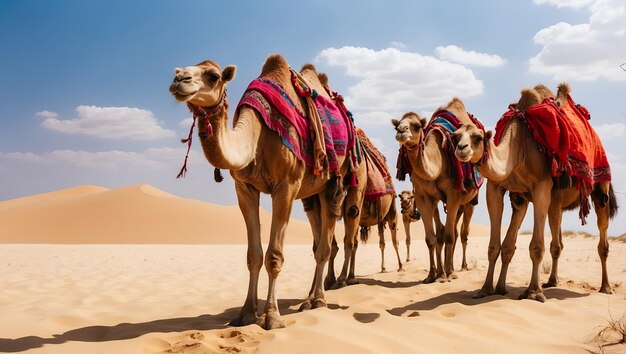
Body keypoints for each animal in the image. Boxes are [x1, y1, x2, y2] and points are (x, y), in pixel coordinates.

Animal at [168, 55, 358, 330]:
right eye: (180, 70)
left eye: (213, 76)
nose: (178, 80)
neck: (256, 137)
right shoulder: (244, 188)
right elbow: (254, 256)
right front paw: (246, 314)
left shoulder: (286, 186)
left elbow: (274, 256)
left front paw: (272, 317)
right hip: (311, 192)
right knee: (318, 240)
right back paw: (307, 299)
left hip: (333, 180)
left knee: (325, 244)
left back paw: (318, 301)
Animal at [390, 98, 482, 284]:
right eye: (396, 126)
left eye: (417, 125)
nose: (402, 131)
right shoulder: (423, 196)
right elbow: (432, 238)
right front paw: (433, 275)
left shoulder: (453, 193)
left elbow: (448, 236)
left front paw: (449, 274)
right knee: (448, 231)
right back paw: (445, 269)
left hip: (469, 202)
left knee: (462, 234)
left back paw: (460, 267)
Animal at [450, 83, 616, 302]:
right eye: (455, 136)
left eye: (478, 138)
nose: (461, 149)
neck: (517, 149)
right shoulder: (502, 191)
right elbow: (498, 246)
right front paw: (487, 289)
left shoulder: (541, 187)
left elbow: (536, 247)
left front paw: (533, 292)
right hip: (554, 201)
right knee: (556, 240)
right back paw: (552, 281)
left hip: (600, 187)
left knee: (601, 233)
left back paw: (605, 287)